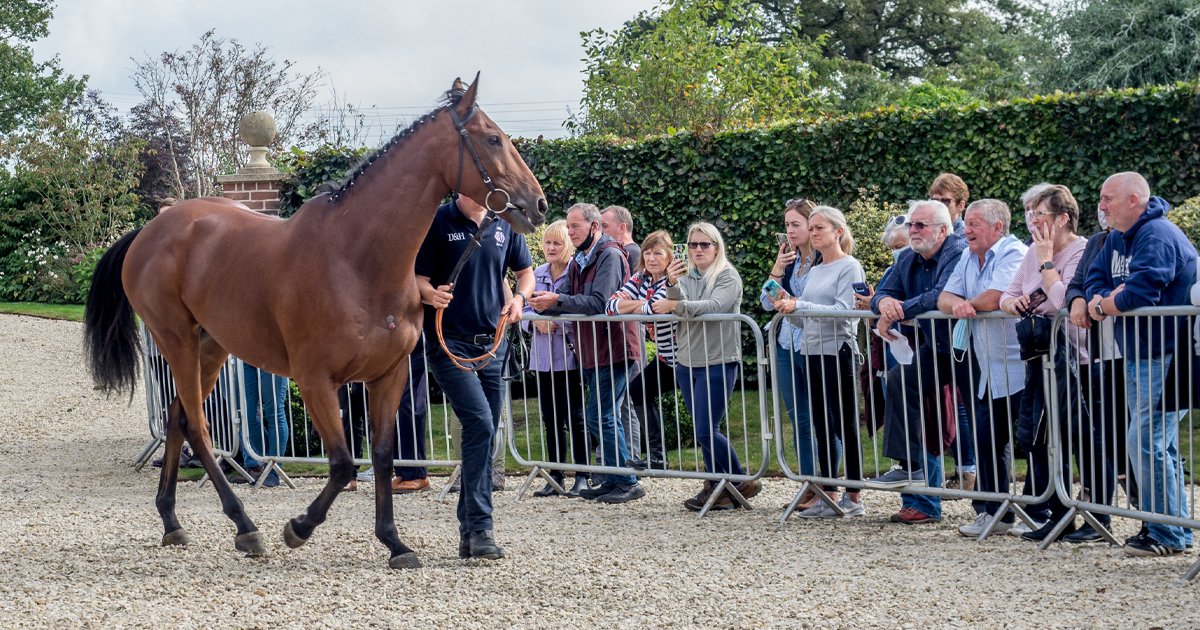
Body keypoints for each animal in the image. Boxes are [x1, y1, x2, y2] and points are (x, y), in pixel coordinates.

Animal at [83, 75, 547, 569]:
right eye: (493, 138)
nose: (538, 204)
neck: (357, 259)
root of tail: (149, 231)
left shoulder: (389, 375)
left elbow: (382, 456)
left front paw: (394, 543)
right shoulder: (315, 379)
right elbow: (343, 463)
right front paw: (298, 527)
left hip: (212, 345)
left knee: (177, 418)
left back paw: (172, 521)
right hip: (177, 340)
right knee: (199, 428)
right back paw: (245, 527)